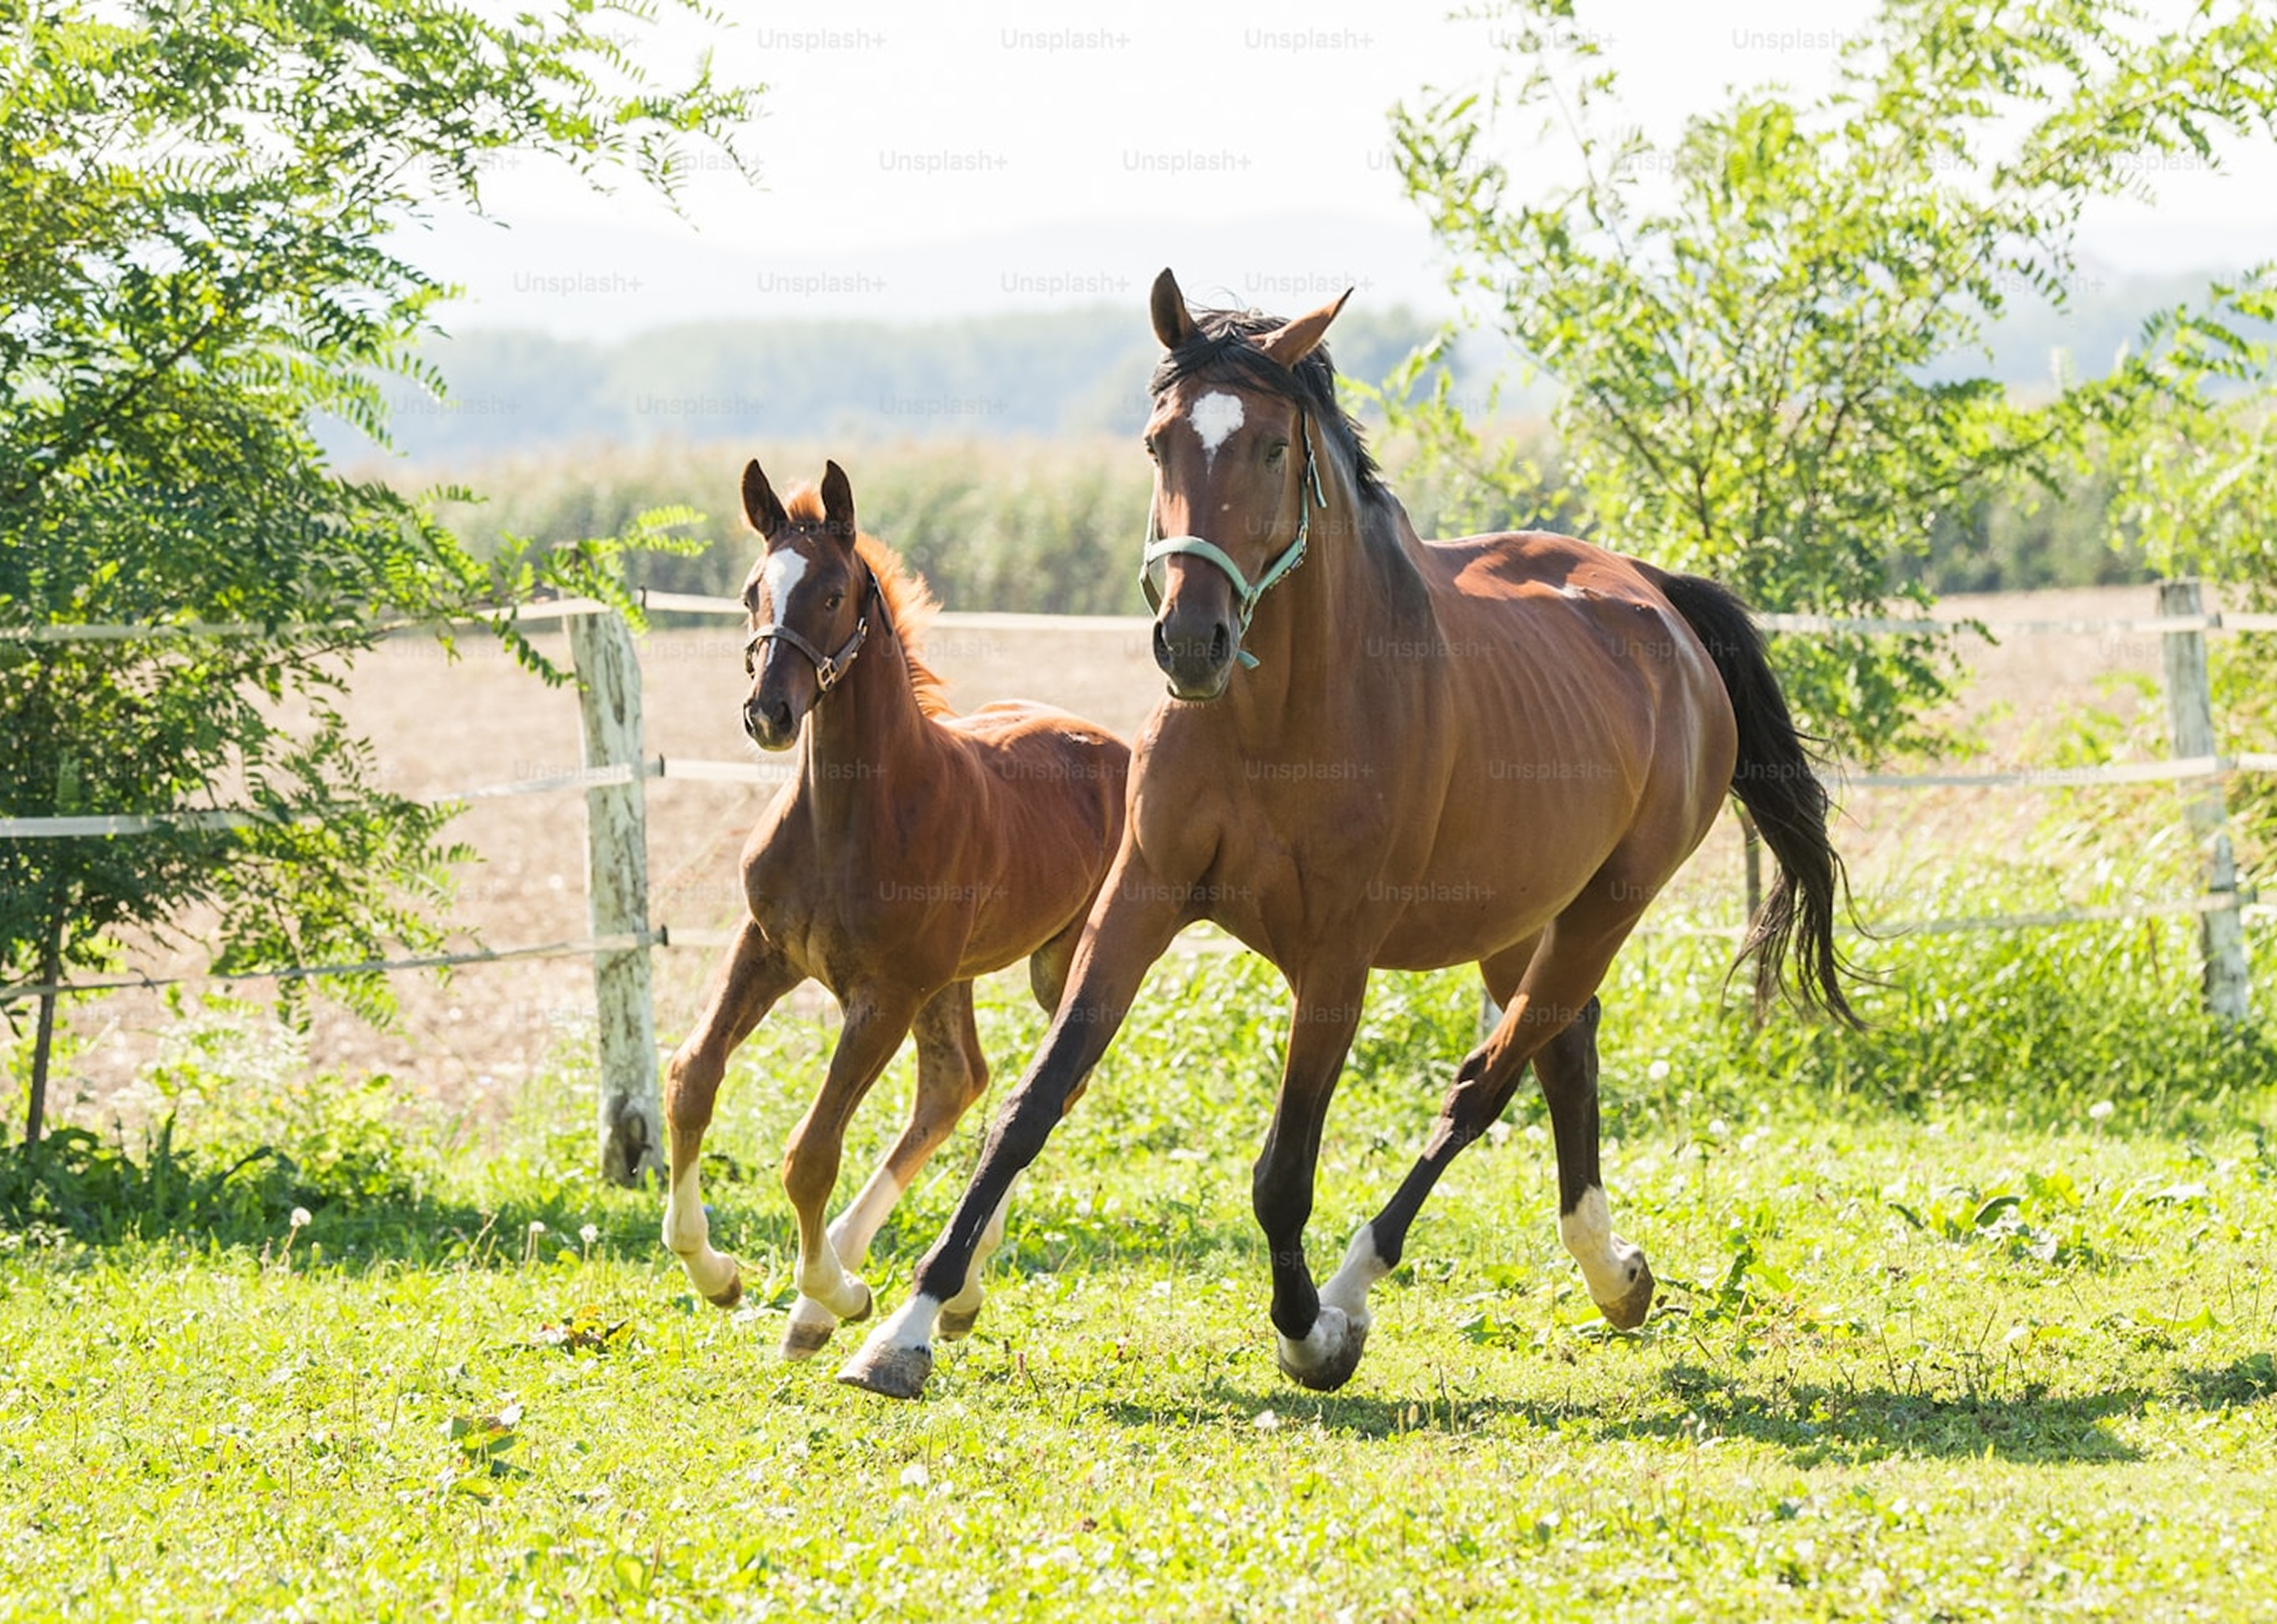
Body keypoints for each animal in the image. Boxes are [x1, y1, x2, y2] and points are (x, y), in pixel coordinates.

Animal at [660, 457, 1129, 1360]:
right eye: (750, 592)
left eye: (834, 592)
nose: (768, 713)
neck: (849, 815)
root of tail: (1120, 747)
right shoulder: (764, 946)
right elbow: (691, 1079)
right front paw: (715, 1271)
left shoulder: (884, 995)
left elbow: (809, 1150)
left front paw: (834, 1292)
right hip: (951, 978)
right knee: (958, 1083)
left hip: (1056, 964)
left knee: (1048, 1085)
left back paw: (929, 1287)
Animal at [838, 270, 1856, 1400]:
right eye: (1157, 442)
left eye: (1271, 448)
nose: (1191, 642)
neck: (1273, 721)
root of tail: (1656, 603)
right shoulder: (1139, 897)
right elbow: (1031, 1104)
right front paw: (907, 1327)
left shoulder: (1336, 955)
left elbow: (1282, 1171)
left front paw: (1308, 1332)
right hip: (1516, 918)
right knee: (1563, 1053)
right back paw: (1612, 1272)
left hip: (1604, 908)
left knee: (1485, 1081)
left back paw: (1364, 1287)